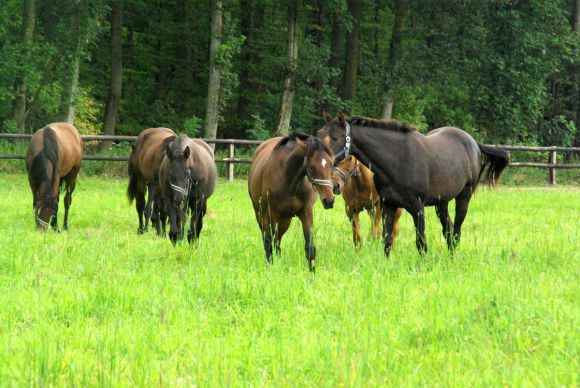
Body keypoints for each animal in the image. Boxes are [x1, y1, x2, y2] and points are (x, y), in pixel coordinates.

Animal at [248, 132, 336, 272]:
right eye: (311, 167)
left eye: (331, 164)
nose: (329, 200)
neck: (289, 181)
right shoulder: (272, 214)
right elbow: (272, 243)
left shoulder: (306, 212)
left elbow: (309, 247)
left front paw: (312, 272)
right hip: (261, 215)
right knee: (268, 241)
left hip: (285, 220)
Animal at [320, 113, 510, 256]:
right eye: (320, 135)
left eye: (335, 137)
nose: (332, 184)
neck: (398, 159)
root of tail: (473, 142)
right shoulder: (388, 205)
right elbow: (387, 242)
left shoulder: (416, 207)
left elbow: (421, 243)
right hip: (441, 203)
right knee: (448, 230)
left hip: (464, 196)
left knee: (456, 231)